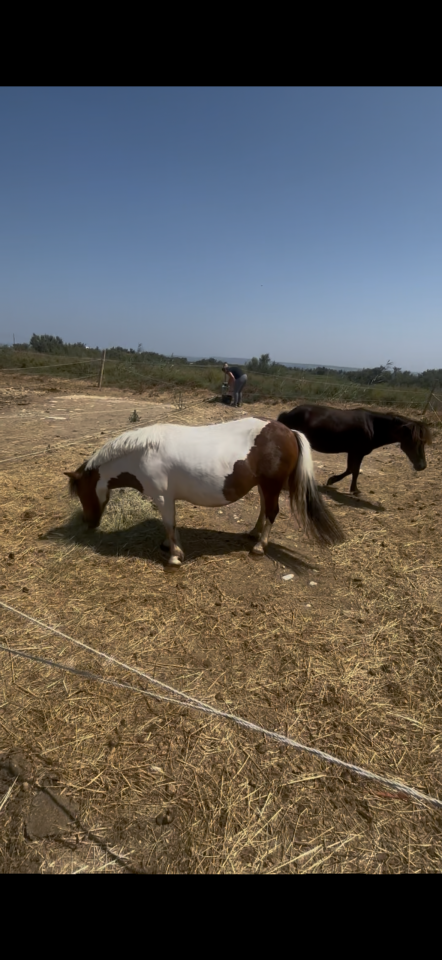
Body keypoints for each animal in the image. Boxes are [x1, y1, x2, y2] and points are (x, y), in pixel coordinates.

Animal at [65, 418, 344, 566]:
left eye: (82, 493)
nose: (89, 523)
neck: (143, 452)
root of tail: (288, 430)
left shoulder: (162, 496)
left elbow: (169, 524)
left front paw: (174, 556)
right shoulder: (167, 498)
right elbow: (171, 525)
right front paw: (171, 546)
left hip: (272, 485)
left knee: (272, 512)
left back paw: (259, 546)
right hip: (264, 486)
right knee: (265, 508)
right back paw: (253, 533)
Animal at [277, 404, 432, 494]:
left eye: (423, 443)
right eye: (414, 441)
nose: (422, 466)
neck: (373, 426)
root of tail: (287, 414)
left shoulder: (352, 452)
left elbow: (350, 469)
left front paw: (332, 480)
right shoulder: (357, 452)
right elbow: (355, 470)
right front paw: (354, 489)